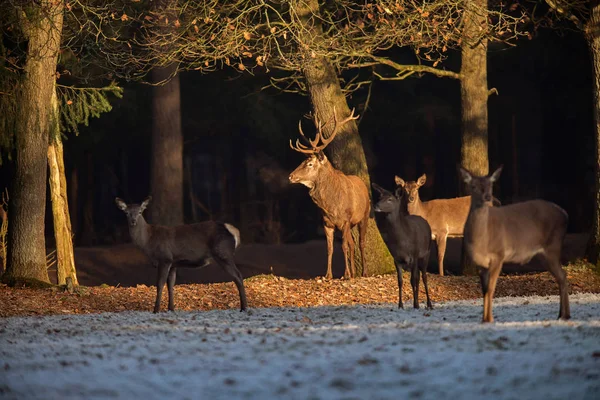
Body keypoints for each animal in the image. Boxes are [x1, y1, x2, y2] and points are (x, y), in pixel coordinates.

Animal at [113, 196, 247, 312]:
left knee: (238, 275)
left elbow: (160, 284)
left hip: (223, 253)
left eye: (140, 212)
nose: (133, 221)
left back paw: (244, 308)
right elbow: (171, 284)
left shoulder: (165, 258)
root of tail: (234, 230)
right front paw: (171, 309)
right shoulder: (173, 263)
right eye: (126, 213)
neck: (148, 242)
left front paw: (156, 310)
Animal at [288, 108, 368, 280]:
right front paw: (328, 274)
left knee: (360, 242)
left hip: (364, 215)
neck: (331, 205)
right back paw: (354, 273)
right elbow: (330, 248)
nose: (291, 176)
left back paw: (363, 272)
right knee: (352, 243)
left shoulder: (345, 219)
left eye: (310, 164)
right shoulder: (326, 222)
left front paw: (345, 274)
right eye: (302, 161)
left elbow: (343, 246)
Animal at [458, 167, 568, 324]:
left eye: (491, 185)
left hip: (553, 246)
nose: (487, 197)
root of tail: (565, 214)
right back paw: (562, 315)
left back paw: (564, 315)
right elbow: (484, 290)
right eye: (473, 186)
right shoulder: (480, 263)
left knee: (562, 275)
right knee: (561, 276)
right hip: (543, 255)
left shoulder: (499, 255)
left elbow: (491, 289)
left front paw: (490, 319)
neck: (481, 241)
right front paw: (484, 319)